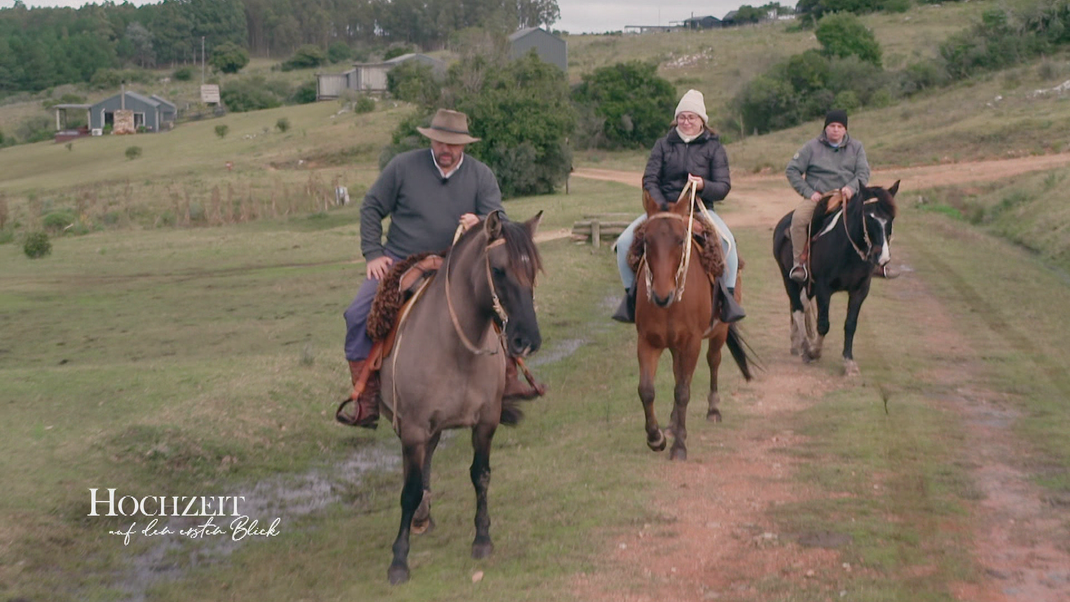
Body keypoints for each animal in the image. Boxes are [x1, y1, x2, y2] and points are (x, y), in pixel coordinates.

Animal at [376, 210, 543, 585]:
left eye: (534, 270)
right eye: (498, 270)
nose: (527, 339)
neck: (454, 347)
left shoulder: (485, 422)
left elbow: (480, 475)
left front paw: (482, 538)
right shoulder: (413, 428)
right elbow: (408, 490)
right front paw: (398, 560)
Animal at [633, 190, 753, 459]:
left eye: (680, 240)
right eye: (646, 240)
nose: (661, 296)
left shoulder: (692, 343)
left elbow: (683, 392)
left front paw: (679, 446)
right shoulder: (647, 341)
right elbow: (646, 390)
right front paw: (656, 437)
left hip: (718, 332)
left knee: (713, 362)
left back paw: (713, 411)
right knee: (678, 374)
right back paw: (671, 424)